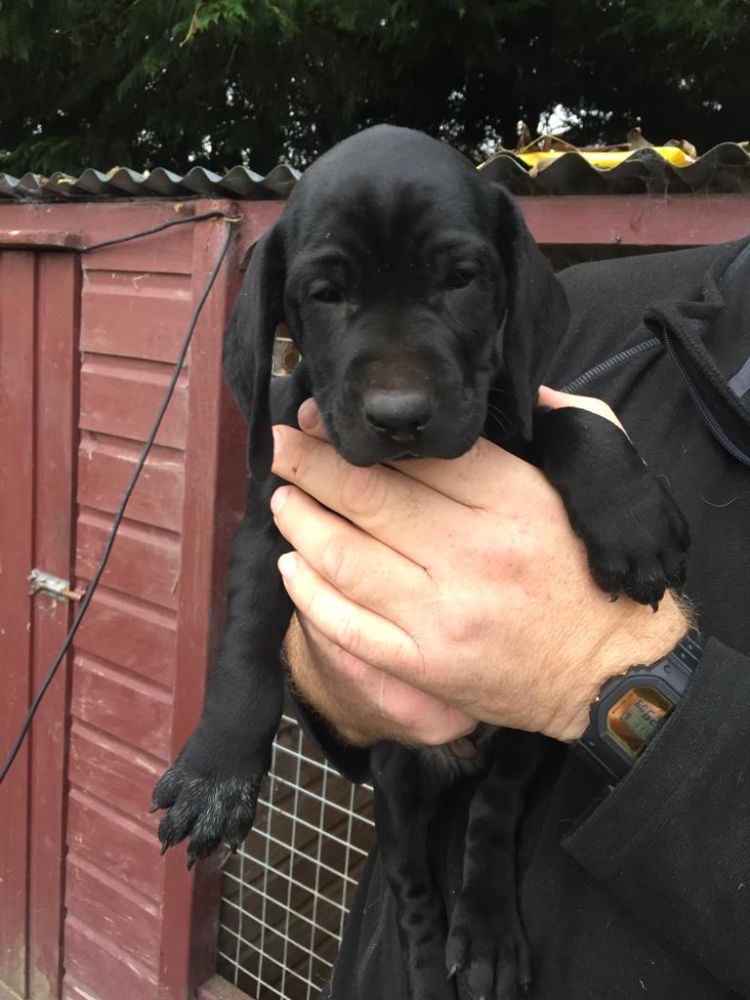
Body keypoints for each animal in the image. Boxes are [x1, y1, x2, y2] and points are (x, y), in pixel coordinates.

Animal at [154, 125, 692, 1000]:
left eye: (462, 280)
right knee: (411, 887)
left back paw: (487, 935)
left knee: (491, 819)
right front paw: (215, 771)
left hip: (523, 744)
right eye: (326, 294)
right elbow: (244, 649)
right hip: (397, 779)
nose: (400, 417)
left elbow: (565, 420)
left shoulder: (506, 407)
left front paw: (633, 519)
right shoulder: (275, 516)